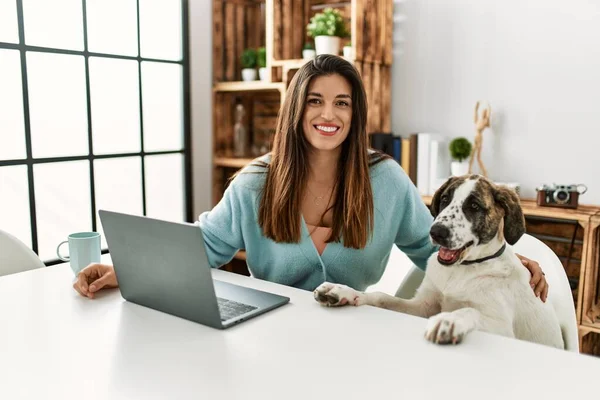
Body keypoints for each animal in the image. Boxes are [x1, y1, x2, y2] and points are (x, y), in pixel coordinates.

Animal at [314, 174, 568, 346]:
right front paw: (345, 291)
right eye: (445, 199)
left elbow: (469, 311)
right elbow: (381, 296)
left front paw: (450, 321)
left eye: (474, 206)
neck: (462, 270)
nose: (436, 232)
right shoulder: (423, 306)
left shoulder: (502, 327)